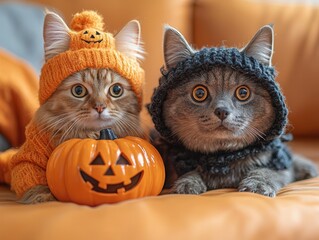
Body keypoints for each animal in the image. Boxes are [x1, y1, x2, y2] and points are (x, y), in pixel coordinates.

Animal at [149, 24, 318, 197]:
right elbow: (187, 172)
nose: (222, 111)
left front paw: (256, 185)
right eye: (199, 93)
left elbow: (268, 171)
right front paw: (187, 184)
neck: (223, 158)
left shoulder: (278, 162)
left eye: (243, 92)